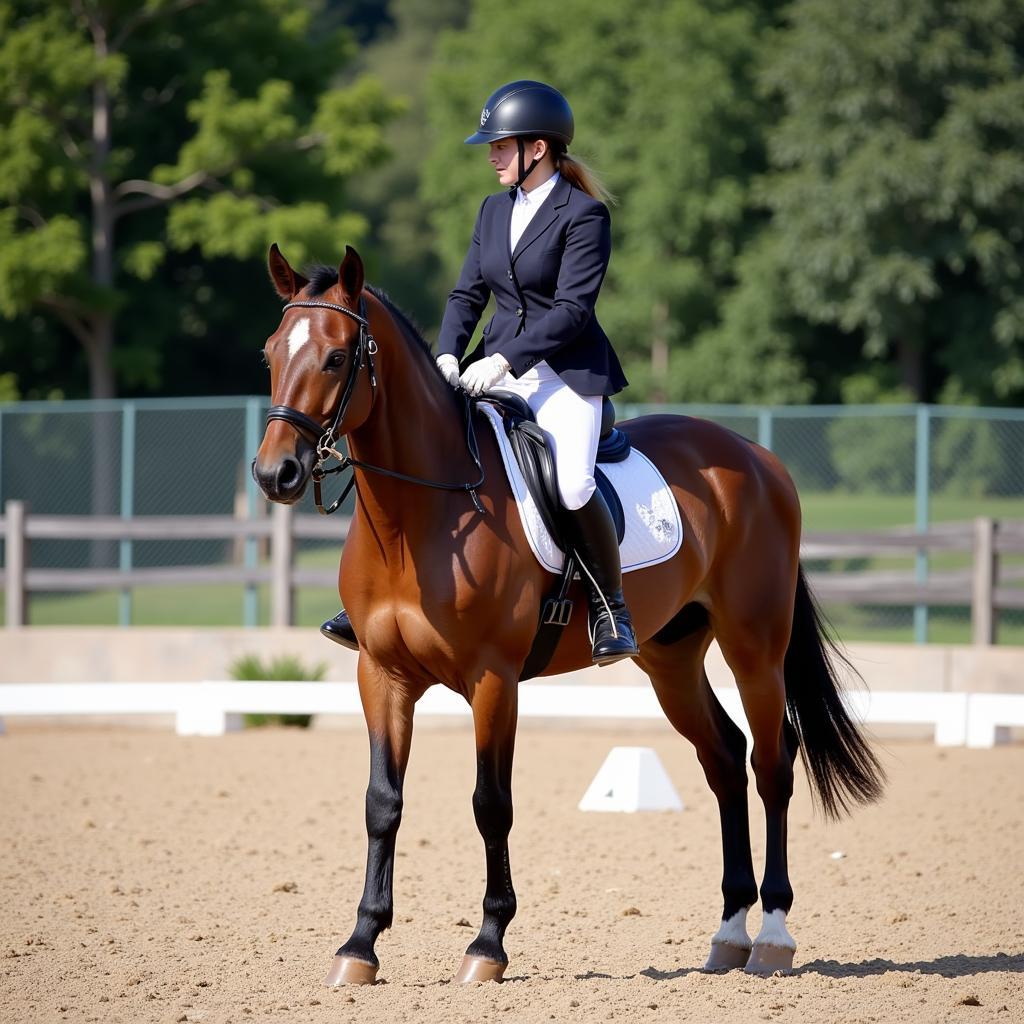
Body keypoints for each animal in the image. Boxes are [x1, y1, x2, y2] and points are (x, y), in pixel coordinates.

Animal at [251, 245, 884, 983]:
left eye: (334, 357)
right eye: (271, 352)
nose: (275, 475)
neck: (421, 516)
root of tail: (757, 459)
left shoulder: (493, 680)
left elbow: (490, 804)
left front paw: (487, 946)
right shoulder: (381, 675)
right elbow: (383, 803)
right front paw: (359, 946)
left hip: (755, 644)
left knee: (772, 762)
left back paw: (773, 937)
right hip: (670, 658)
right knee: (725, 757)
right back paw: (728, 933)